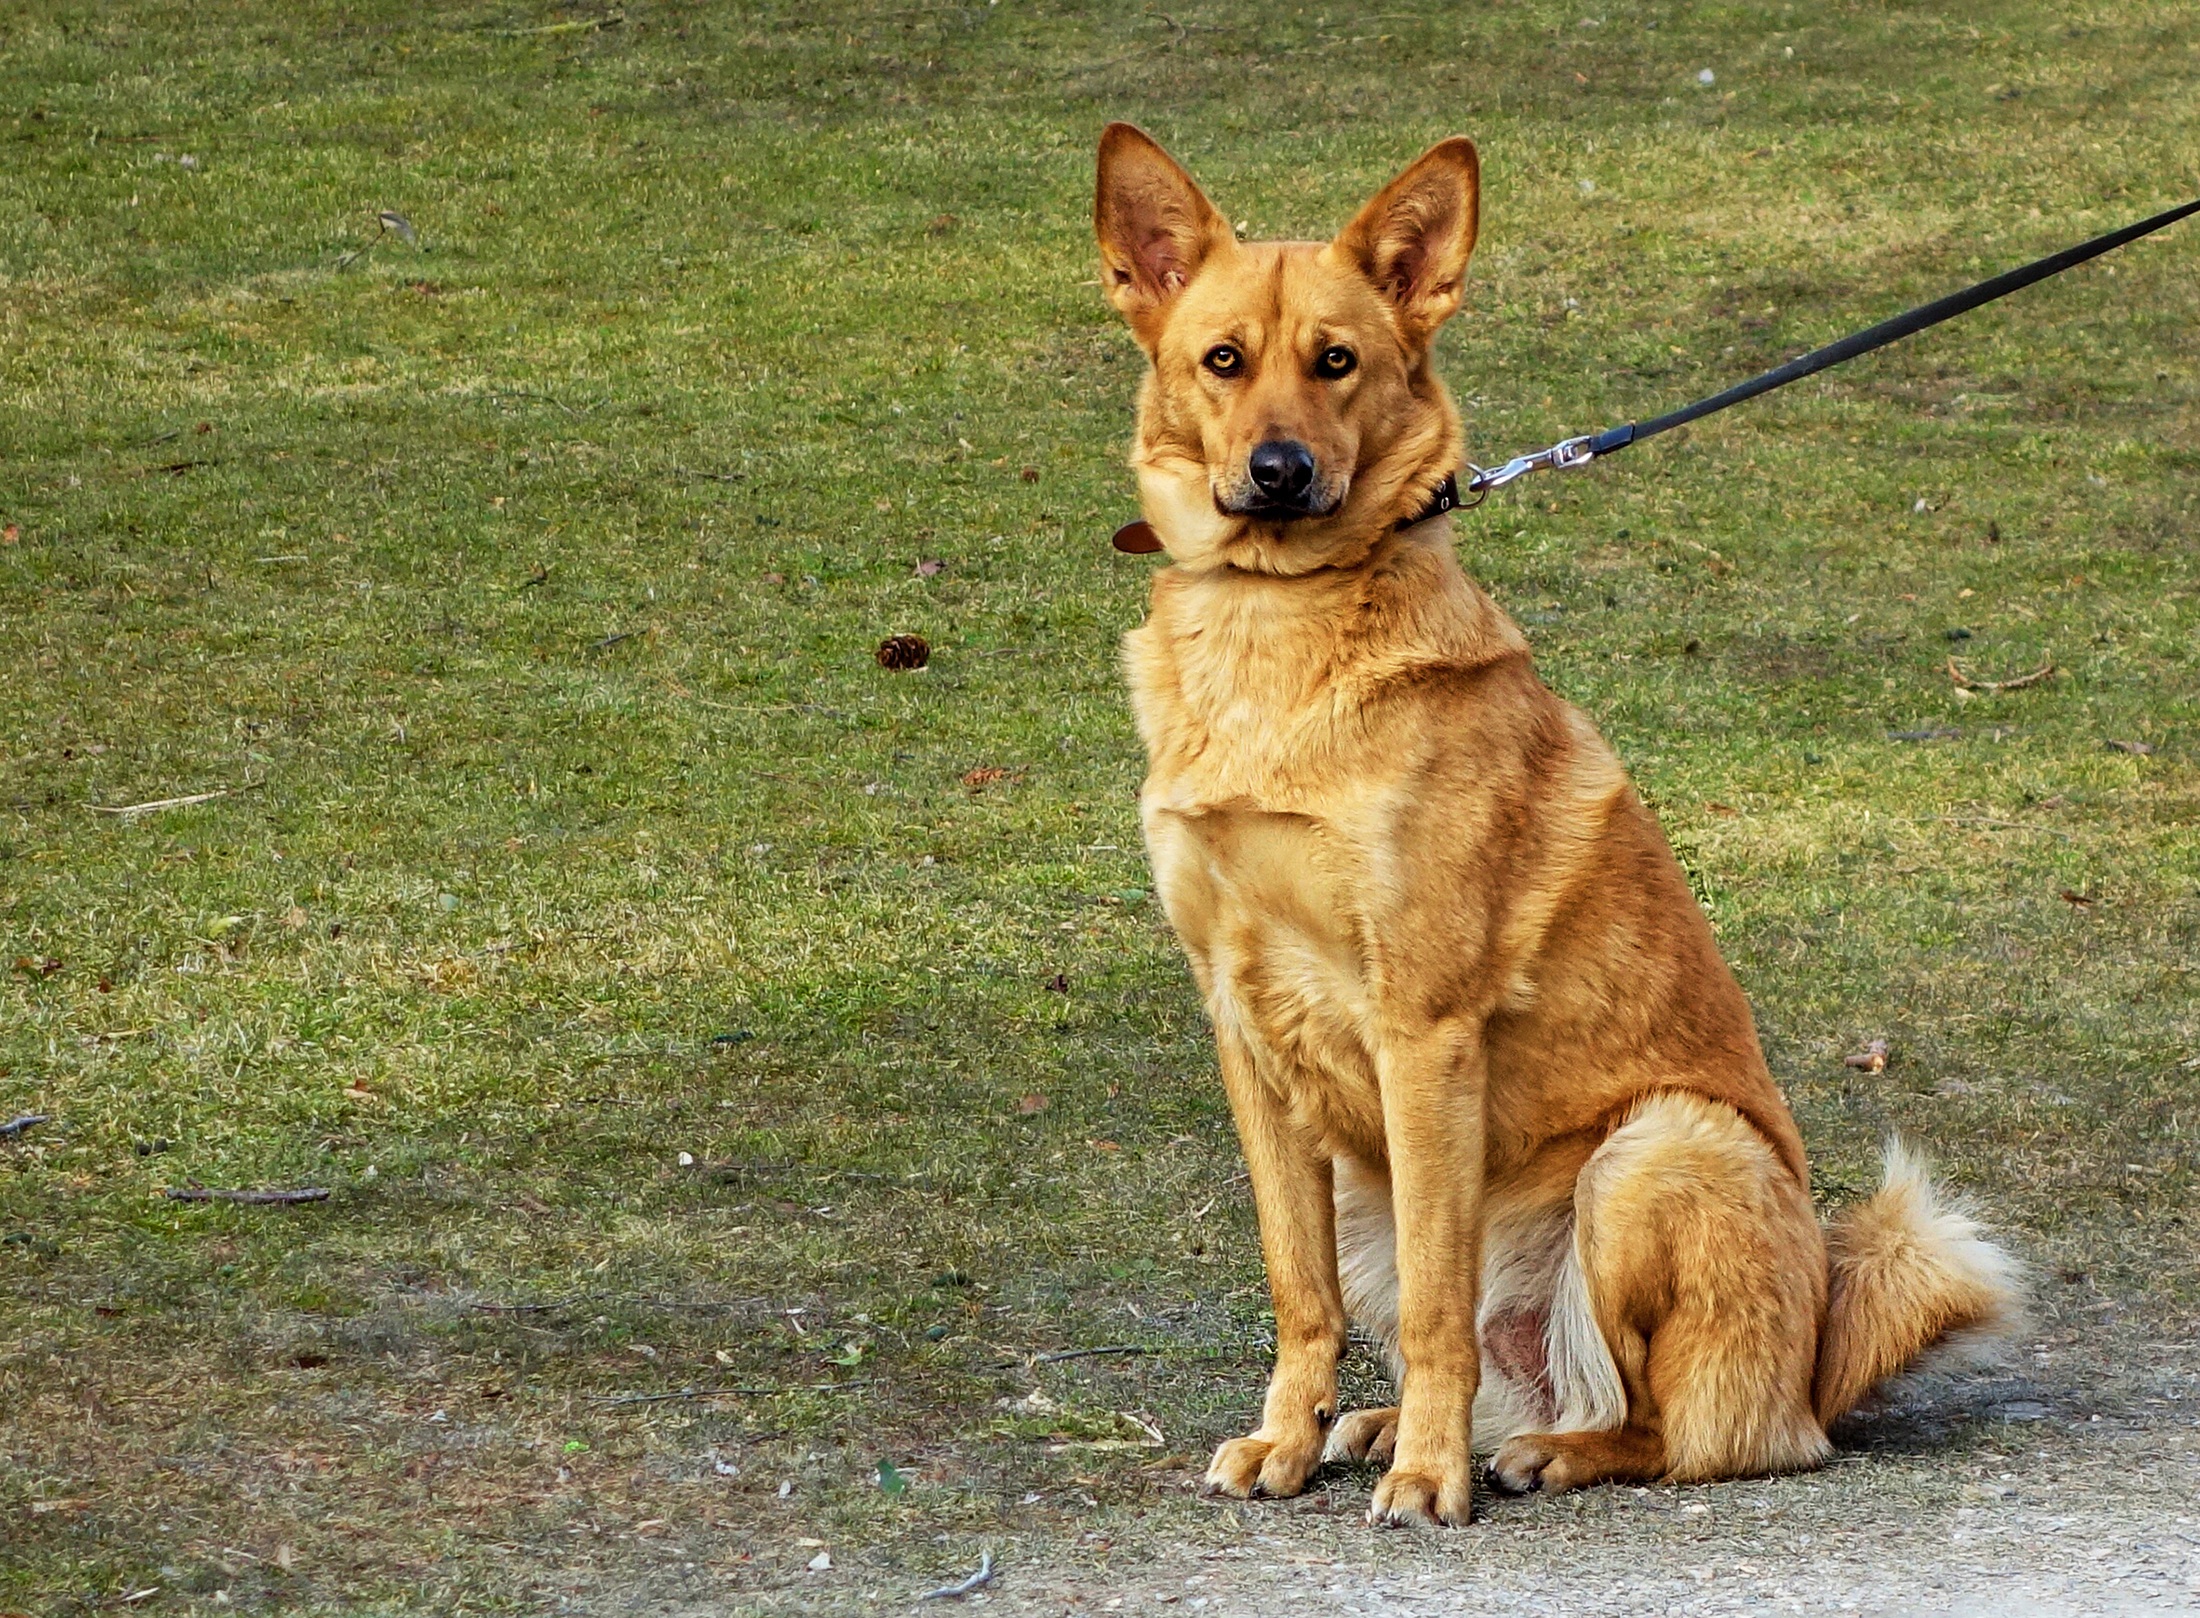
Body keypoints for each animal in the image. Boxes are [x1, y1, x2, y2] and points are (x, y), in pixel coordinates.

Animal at [1091, 129, 2015, 1532]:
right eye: (1224, 360)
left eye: (1337, 361)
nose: (1279, 472)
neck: (1278, 629)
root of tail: (1818, 1356)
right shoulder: (1245, 1031)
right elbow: (1299, 1292)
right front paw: (1289, 1439)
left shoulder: (1423, 1032)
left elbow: (1434, 1311)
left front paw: (1429, 1476)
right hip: (1377, 1183)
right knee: (1528, 1368)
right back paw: (1384, 1425)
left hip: (1653, 1153)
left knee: (1683, 1429)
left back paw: (1532, 1451)